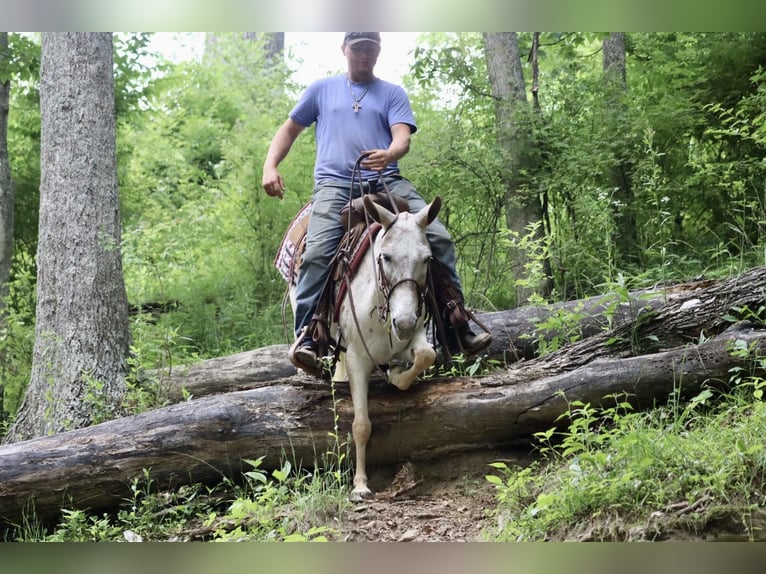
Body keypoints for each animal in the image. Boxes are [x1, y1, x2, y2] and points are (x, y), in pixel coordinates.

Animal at [284, 196, 444, 502]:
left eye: (428, 259)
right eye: (386, 256)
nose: (404, 322)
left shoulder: (414, 336)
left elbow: (425, 355)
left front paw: (396, 374)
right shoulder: (357, 358)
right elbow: (361, 425)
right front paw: (359, 485)